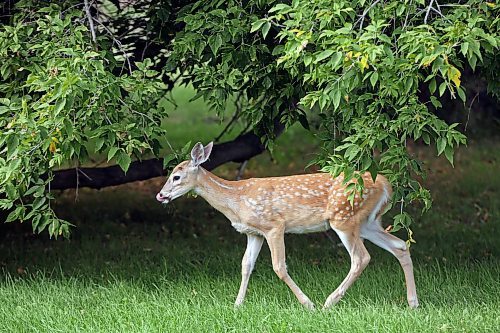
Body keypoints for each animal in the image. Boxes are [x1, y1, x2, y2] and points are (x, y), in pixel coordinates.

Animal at [156, 141, 418, 308]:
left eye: (176, 177)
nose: (161, 195)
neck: (237, 199)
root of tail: (385, 184)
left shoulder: (274, 226)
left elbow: (279, 267)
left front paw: (307, 304)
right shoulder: (253, 233)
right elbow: (246, 265)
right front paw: (237, 305)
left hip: (343, 218)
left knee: (361, 258)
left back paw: (328, 302)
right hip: (367, 222)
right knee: (400, 245)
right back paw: (412, 302)